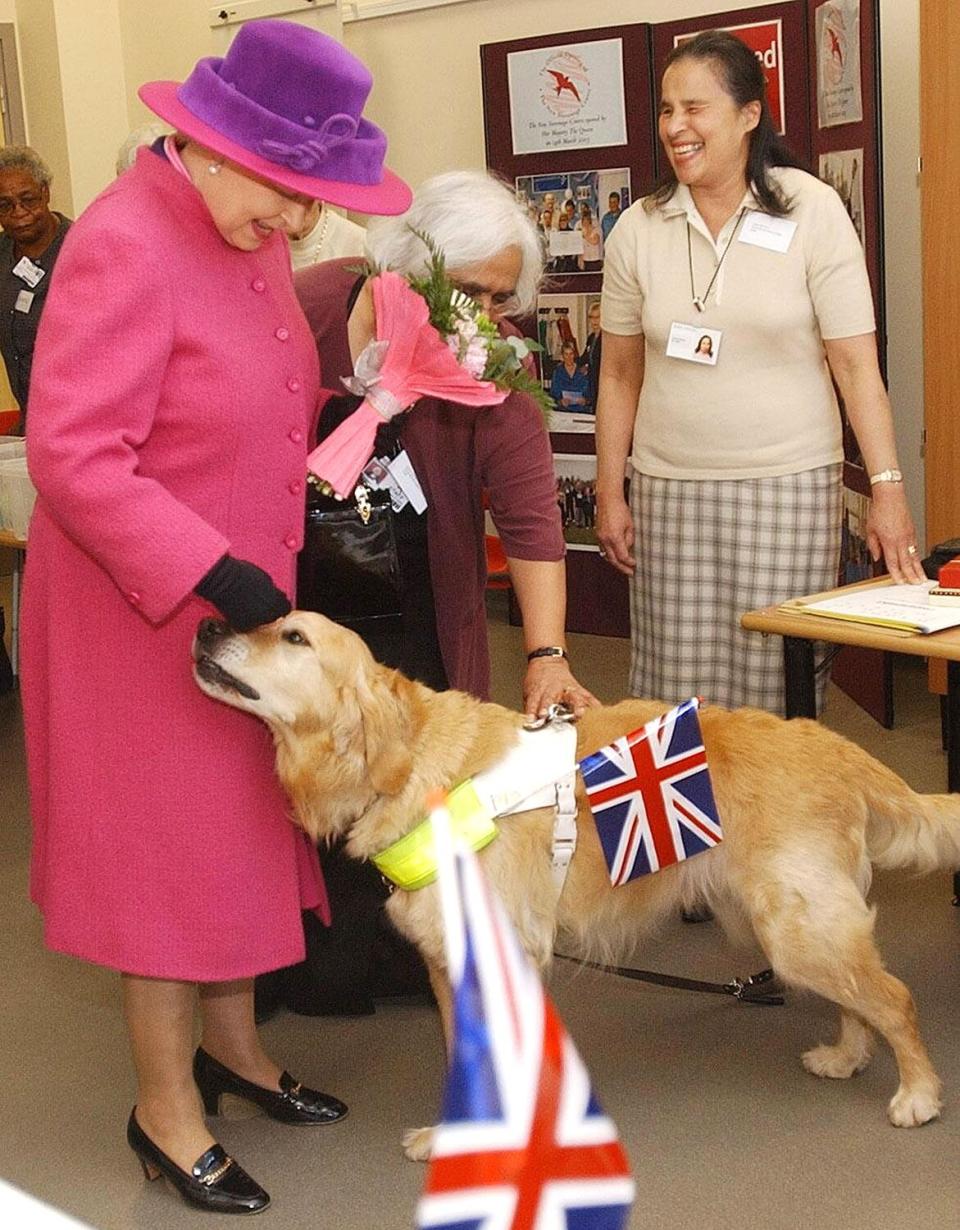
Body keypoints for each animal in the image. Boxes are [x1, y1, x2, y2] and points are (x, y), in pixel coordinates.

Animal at [193, 610, 960, 1146]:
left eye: (294, 635)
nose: (207, 623)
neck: (409, 763)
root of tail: (840, 749)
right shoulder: (450, 964)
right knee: (860, 1000)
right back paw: (846, 1056)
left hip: (795, 926)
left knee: (893, 998)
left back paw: (919, 1095)